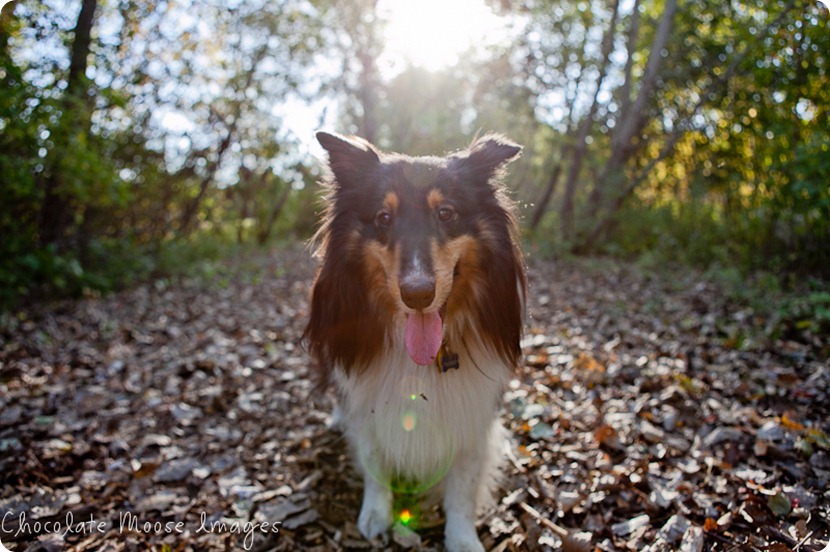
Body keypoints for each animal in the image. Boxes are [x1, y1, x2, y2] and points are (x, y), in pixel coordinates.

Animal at [306, 132, 528, 548]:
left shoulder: (471, 413)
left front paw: (462, 538)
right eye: (383, 217)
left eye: (446, 213)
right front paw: (375, 515)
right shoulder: (369, 401)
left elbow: (462, 485)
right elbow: (374, 459)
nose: (418, 294)